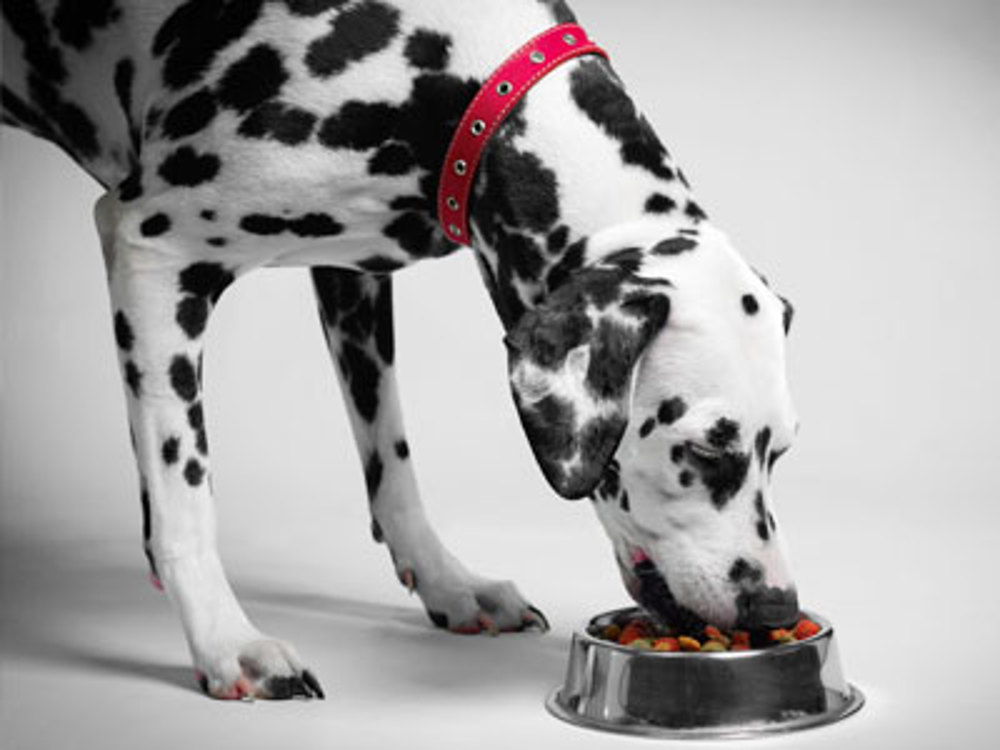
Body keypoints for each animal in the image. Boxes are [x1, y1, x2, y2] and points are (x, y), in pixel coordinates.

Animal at [1, 0, 796, 704]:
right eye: (704, 449)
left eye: (781, 452)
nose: (777, 610)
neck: (461, 75)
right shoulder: (153, 252)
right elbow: (184, 493)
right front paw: (227, 642)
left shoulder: (352, 274)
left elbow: (392, 461)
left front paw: (448, 582)